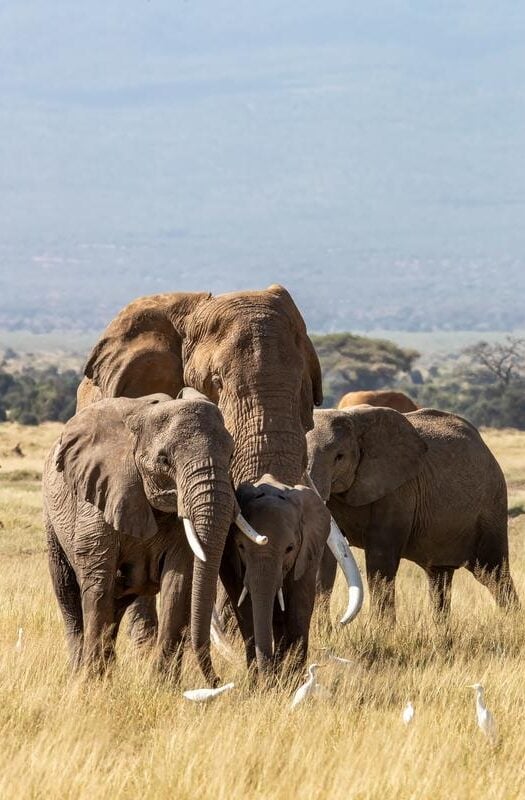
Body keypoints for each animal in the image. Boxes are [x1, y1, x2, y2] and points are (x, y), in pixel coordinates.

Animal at [41, 390, 264, 684]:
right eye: (164, 460)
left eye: (230, 456)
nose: (222, 682)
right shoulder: (98, 495)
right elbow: (98, 579)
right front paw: (90, 683)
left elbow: (178, 582)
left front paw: (163, 684)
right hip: (52, 517)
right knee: (68, 591)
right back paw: (82, 671)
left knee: (116, 602)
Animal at [304, 406, 516, 620]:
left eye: (339, 457)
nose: (341, 621)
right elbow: (325, 558)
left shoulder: (399, 490)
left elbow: (380, 557)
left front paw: (381, 629)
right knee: (439, 576)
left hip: (491, 508)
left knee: (492, 573)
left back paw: (511, 621)